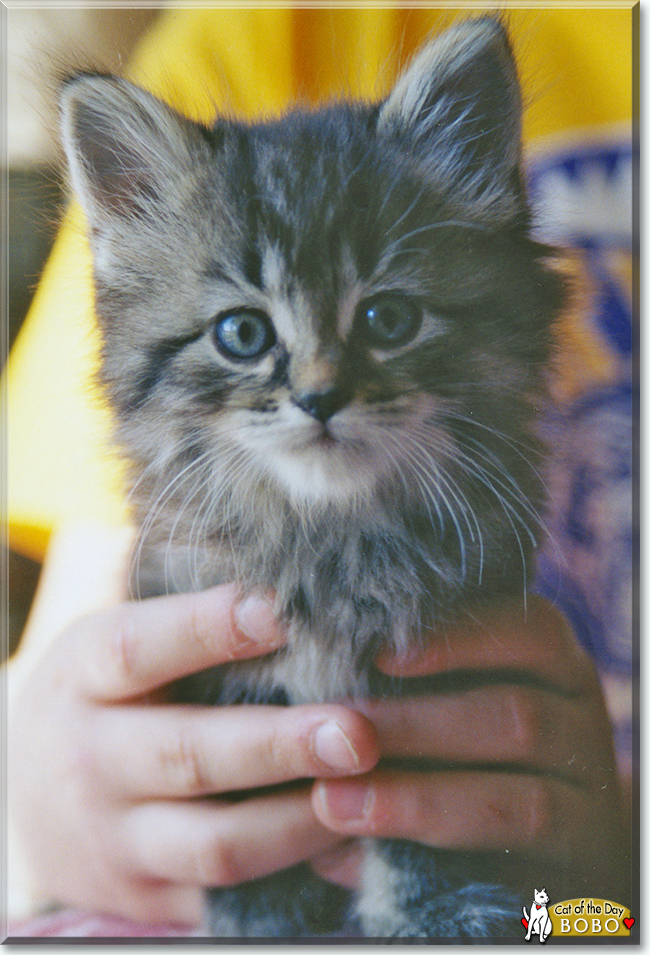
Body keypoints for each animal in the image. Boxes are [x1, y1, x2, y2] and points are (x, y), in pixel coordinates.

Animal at [59, 16, 560, 940]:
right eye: (243, 333)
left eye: (389, 319)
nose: (321, 397)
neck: (327, 535)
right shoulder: (196, 626)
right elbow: (242, 796)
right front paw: (264, 913)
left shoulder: (449, 663)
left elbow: (425, 803)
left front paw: (438, 907)